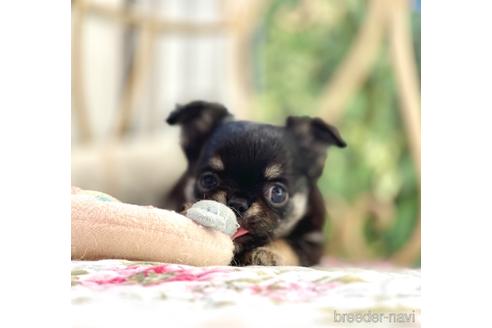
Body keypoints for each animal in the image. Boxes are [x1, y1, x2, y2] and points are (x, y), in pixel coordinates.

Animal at [162, 100, 346, 266]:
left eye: (277, 193)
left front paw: (268, 252)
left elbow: (288, 244)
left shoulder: (312, 243)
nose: (238, 203)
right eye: (208, 180)